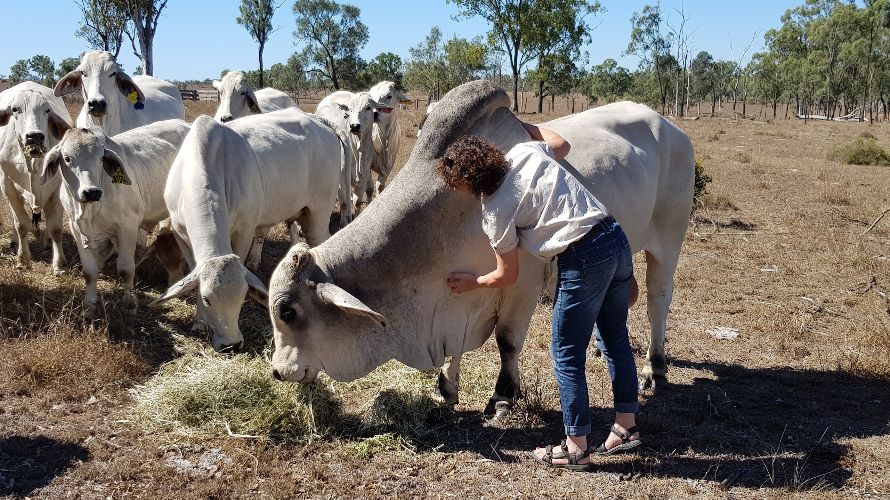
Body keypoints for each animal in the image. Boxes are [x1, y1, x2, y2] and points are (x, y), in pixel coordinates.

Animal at [0, 81, 71, 274]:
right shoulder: (7, 186)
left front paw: (59, 263)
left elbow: (55, 227)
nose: (35, 137)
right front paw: (23, 259)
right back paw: (14, 241)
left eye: (47, 110)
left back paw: (47, 241)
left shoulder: (56, 187)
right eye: (15, 109)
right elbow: (21, 224)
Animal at [42, 120, 190, 316]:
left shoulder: (127, 228)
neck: (91, 209)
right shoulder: (76, 229)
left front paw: (130, 302)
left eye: (100, 158)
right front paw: (89, 306)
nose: (92, 192)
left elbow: (125, 269)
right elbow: (90, 271)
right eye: (67, 158)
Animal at [151, 109, 346, 352]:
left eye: (243, 296)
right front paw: (199, 322)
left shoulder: (244, 230)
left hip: (320, 209)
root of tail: (319, 121)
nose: (231, 345)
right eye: (206, 299)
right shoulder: (181, 235)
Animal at [314, 92, 380, 221]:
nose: (354, 126)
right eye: (350, 109)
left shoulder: (364, 175)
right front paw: (344, 223)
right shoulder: (340, 178)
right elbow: (344, 203)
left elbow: (358, 202)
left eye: (368, 107)